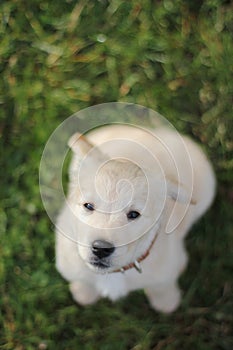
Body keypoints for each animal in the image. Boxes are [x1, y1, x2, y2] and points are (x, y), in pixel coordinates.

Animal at [55, 123, 216, 312]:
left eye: (134, 214)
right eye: (88, 206)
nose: (101, 249)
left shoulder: (164, 271)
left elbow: (162, 286)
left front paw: (167, 303)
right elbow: (82, 279)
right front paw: (84, 294)